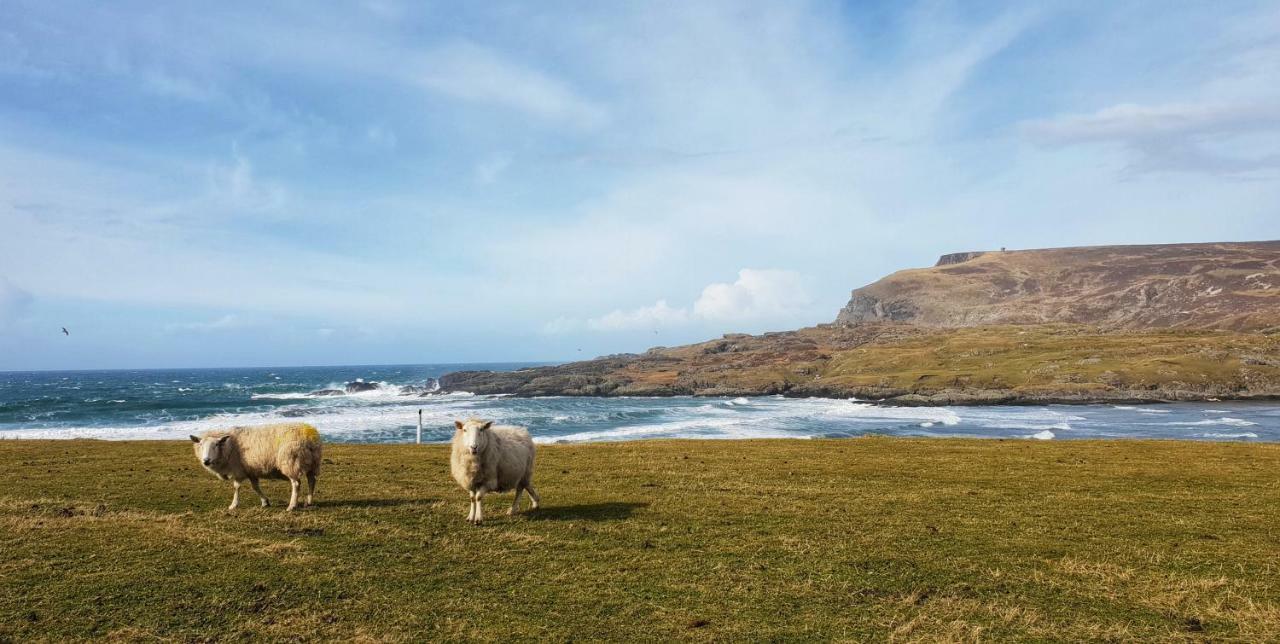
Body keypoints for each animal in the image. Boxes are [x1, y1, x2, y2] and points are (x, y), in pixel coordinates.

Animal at [188, 422, 322, 514]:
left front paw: (233, 505)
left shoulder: (238, 470)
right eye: (200, 445)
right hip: (312, 463)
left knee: (296, 484)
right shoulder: (250, 471)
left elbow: (236, 487)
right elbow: (255, 487)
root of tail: (310, 436)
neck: (229, 446)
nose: (206, 461)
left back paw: (292, 506)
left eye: (216, 444)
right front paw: (265, 502)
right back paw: (309, 501)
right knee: (312, 480)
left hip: (291, 462)